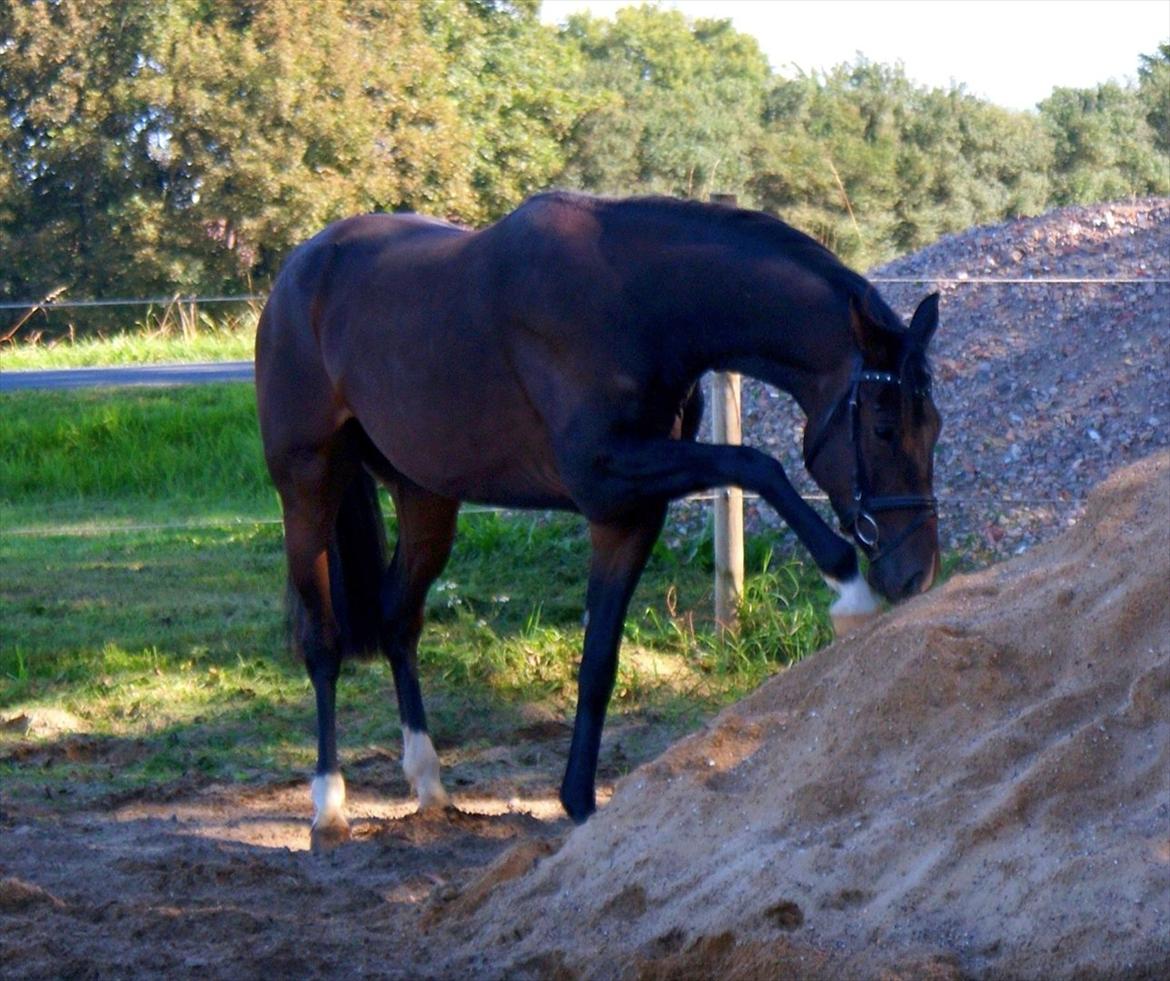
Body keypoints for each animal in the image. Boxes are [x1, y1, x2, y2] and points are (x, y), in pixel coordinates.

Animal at [256, 191, 940, 852]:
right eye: (883, 427)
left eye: (932, 425)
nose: (917, 574)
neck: (638, 303)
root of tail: (297, 272)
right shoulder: (608, 472)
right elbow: (757, 463)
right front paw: (849, 590)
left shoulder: (627, 512)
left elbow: (599, 662)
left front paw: (580, 804)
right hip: (308, 488)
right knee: (323, 642)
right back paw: (329, 808)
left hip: (426, 497)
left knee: (399, 620)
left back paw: (428, 783)